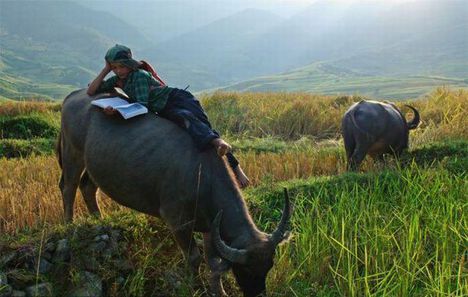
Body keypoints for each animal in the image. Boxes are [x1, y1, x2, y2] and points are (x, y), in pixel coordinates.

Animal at [56, 88, 290, 296]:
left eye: (269, 265)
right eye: (245, 269)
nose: (258, 293)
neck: (202, 174)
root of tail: (74, 95)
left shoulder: (209, 225)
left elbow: (213, 261)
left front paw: (219, 291)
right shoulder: (178, 222)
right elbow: (194, 258)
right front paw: (195, 286)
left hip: (94, 164)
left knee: (88, 187)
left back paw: (98, 218)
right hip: (72, 152)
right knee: (69, 187)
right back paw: (68, 223)